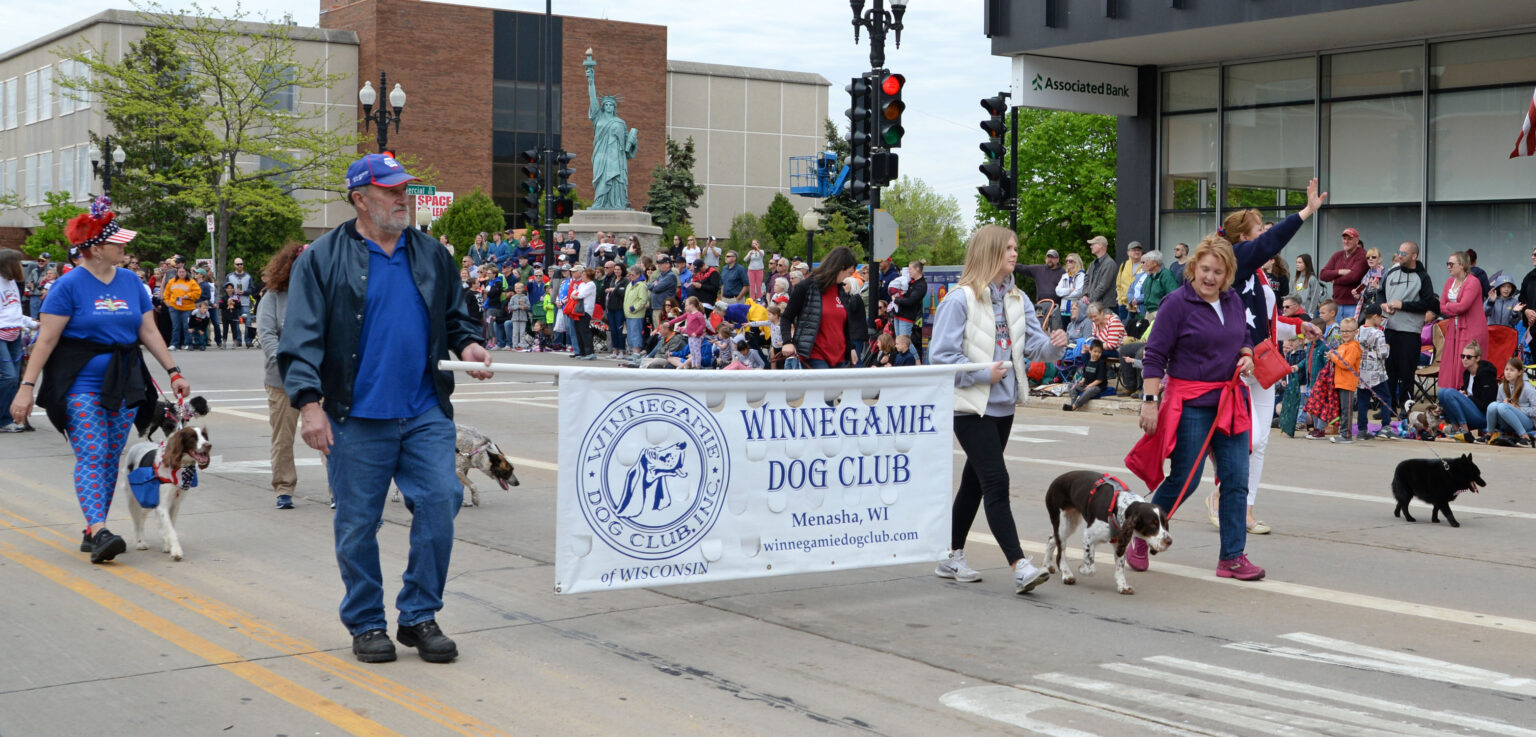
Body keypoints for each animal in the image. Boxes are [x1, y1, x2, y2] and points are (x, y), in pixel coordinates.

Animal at [121, 426, 211, 558]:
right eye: (192, 437)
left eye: (204, 435)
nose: (208, 445)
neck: (180, 467)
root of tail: (136, 446)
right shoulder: (162, 504)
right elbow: (170, 529)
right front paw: (176, 551)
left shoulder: (174, 503)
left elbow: (170, 525)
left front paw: (168, 545)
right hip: (133, 499)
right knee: (136, 521)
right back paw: (140, 542)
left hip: (149, 500)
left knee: (142, 516)